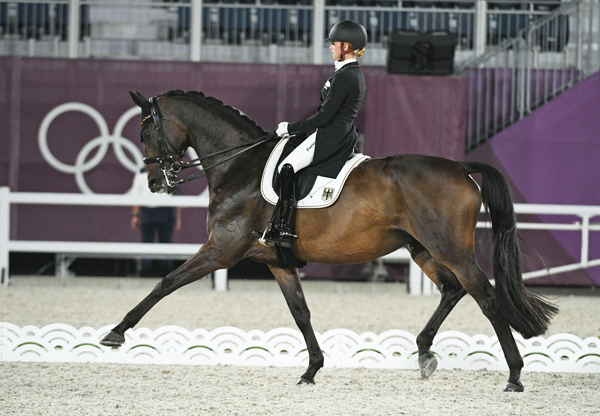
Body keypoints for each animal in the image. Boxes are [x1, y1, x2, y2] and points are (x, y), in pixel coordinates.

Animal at [102, 89, 556, 392]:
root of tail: (460, 166)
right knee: (452, 290)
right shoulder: (278, 262)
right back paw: (425, 352)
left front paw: (116, 332)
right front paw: (311, 369)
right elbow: (301, 313)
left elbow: (165, 283)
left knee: (486, 297)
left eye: (146, 133)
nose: (157, 183)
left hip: (450, 249)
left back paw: (514, 375)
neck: (240, 165)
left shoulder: (221, 250)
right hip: (422, 248)